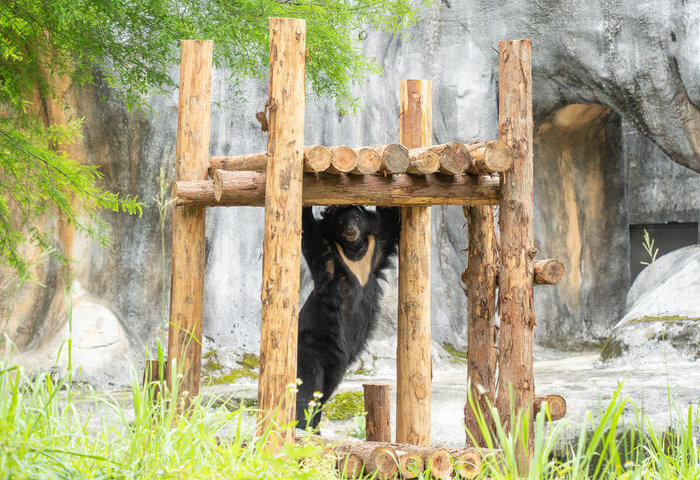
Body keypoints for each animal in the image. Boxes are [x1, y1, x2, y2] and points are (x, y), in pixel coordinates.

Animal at [295, 205, 400, 430]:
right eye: (341, 221)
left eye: (357, 219)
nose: (351, 230)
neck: (353, 250)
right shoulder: (326, 252)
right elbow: (307, 228)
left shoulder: (377, 248)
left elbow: (390, 220)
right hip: (310, 346)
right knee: (308, 387)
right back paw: (302, 426)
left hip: (336, 365)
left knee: (325, 390)